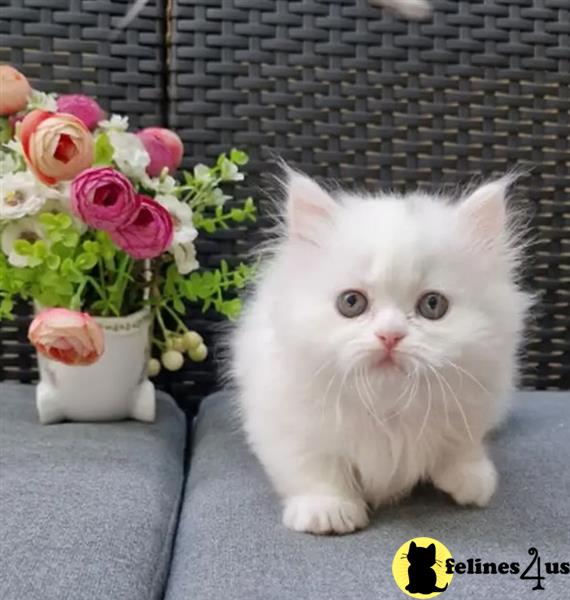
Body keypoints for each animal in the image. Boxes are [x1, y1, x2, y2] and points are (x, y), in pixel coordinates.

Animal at [230, 172, 528, 536]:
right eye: (351, 302)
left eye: (433, 305)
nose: (390, 336)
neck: (388, 409)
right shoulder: (289, 423)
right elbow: (315, 469)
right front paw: (327, 511)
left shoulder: (474, 402)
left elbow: (462, 445)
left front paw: (470, 479)